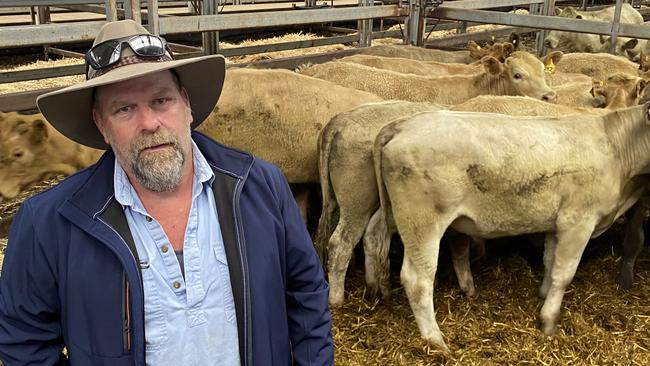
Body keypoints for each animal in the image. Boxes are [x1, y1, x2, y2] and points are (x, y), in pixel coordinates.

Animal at [370, 103, 648, 352]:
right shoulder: (578, 221)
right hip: (422, 221)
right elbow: (564, 274)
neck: (617, 148)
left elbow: (550, 262)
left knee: (374, 234)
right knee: (417, 279)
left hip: (394, 213)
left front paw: (543, 294)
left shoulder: (556, 223)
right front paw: (548, 321)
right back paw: (435, 341)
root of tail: (402, 124)